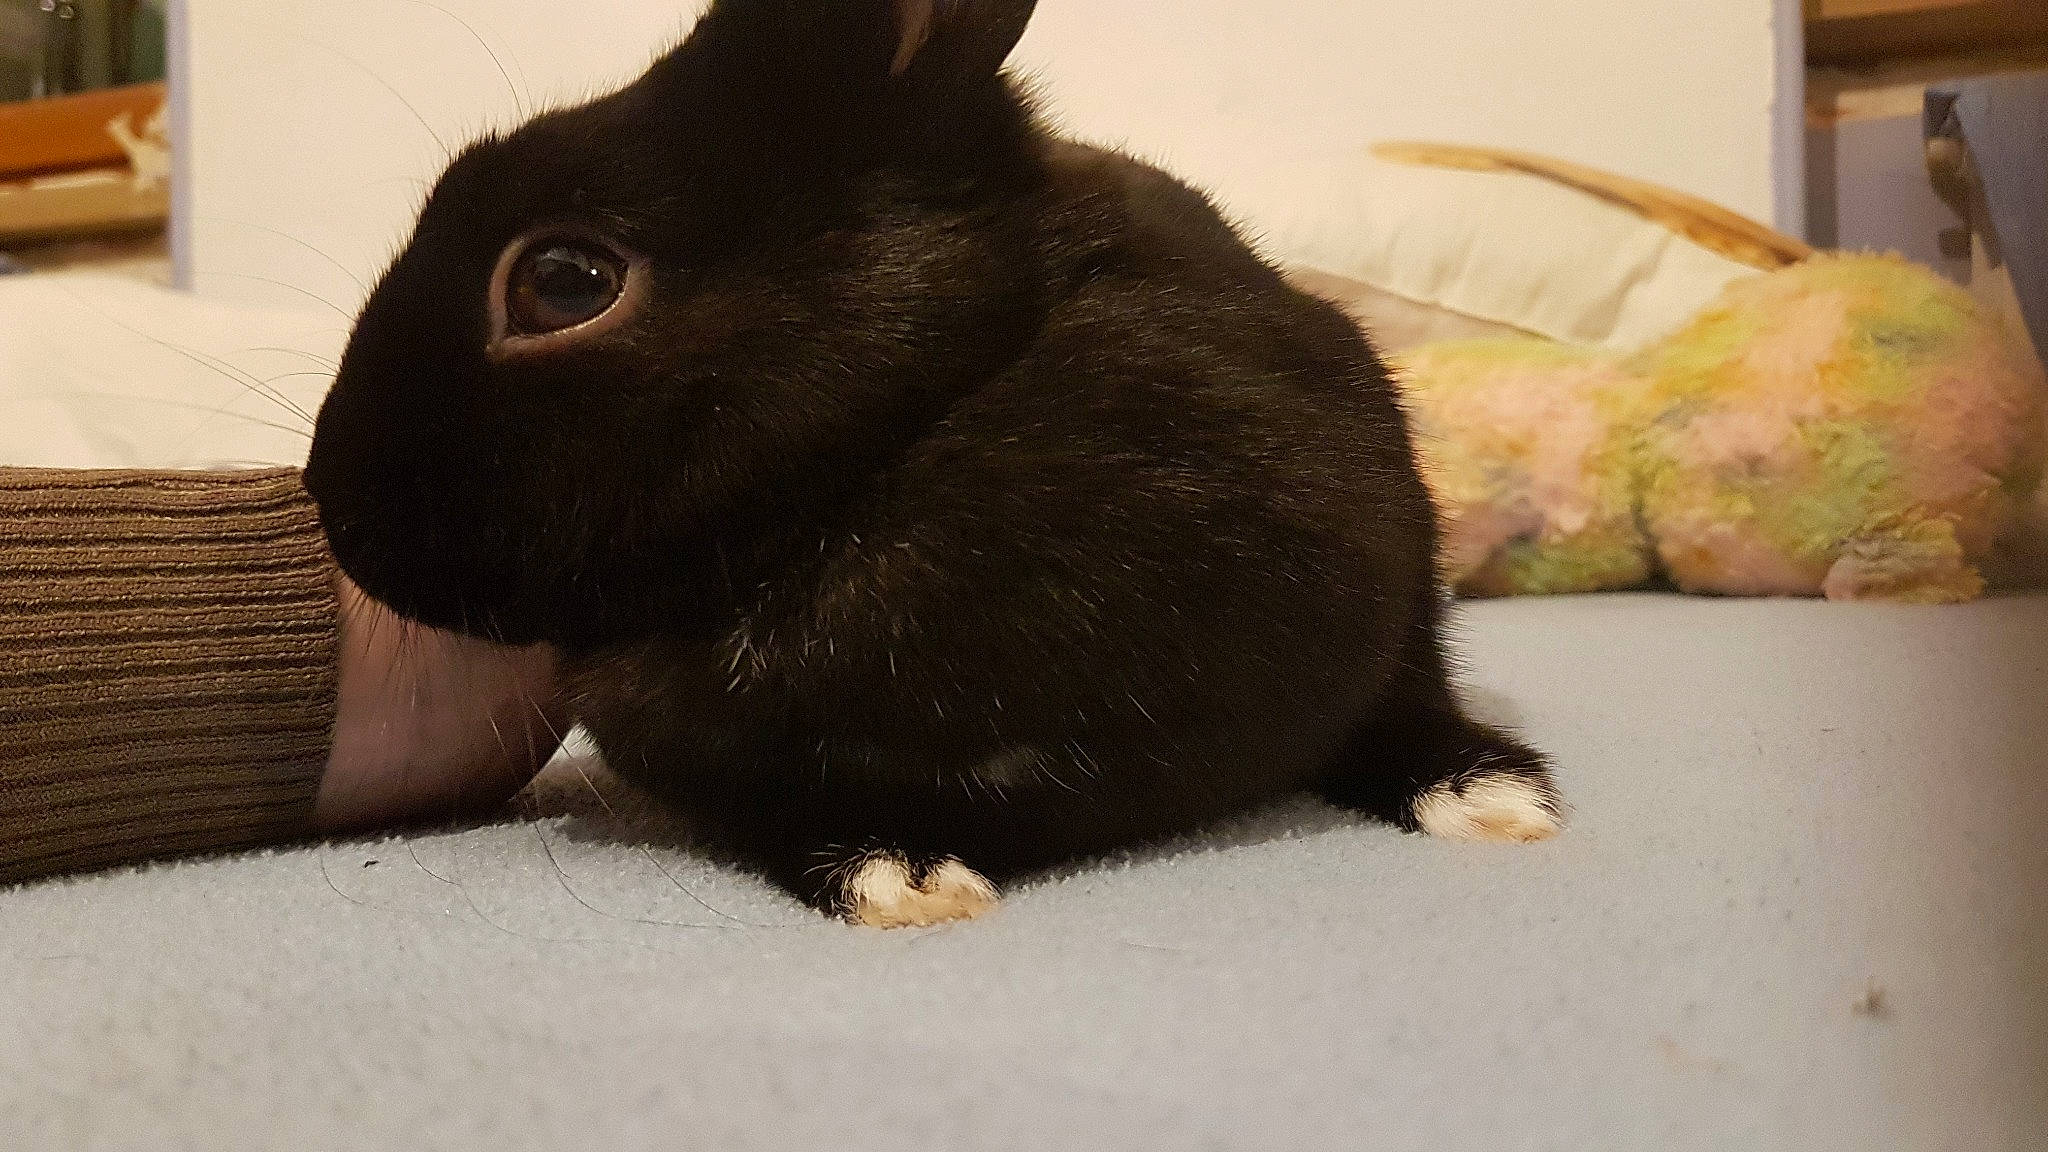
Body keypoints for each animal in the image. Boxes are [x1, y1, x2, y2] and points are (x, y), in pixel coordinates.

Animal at [304, 0, 1562, 928]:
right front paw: (902, 882)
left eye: (563, 282)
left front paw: (1496, 797)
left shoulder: (1390, 602)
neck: (892, 453)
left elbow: (1403, 706)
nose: (332, 504)